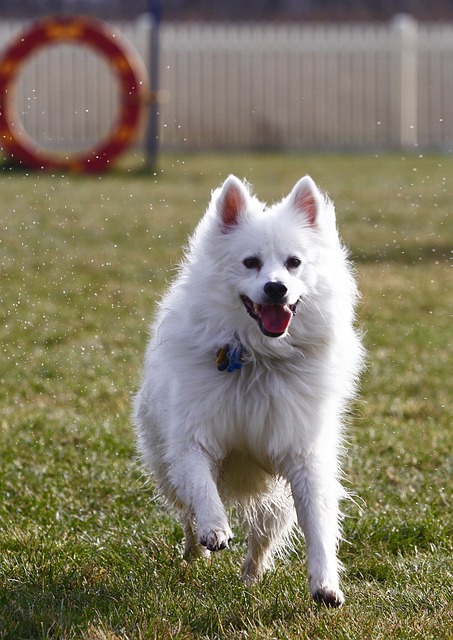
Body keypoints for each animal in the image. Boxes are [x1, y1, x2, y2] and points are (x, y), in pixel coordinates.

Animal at [132, 174, 362, 604]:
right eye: (250, 263)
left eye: (294, 263)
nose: (276, 288)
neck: (259, 358)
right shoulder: (192, 438)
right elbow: (202, 488)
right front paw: (215, 528)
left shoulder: (303, 454)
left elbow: (318, 524)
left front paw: (325, 584)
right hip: (165, 468)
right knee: (186, 512)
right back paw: (195, 552)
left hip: (275, 505)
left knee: (263, 540)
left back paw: (251, 576)